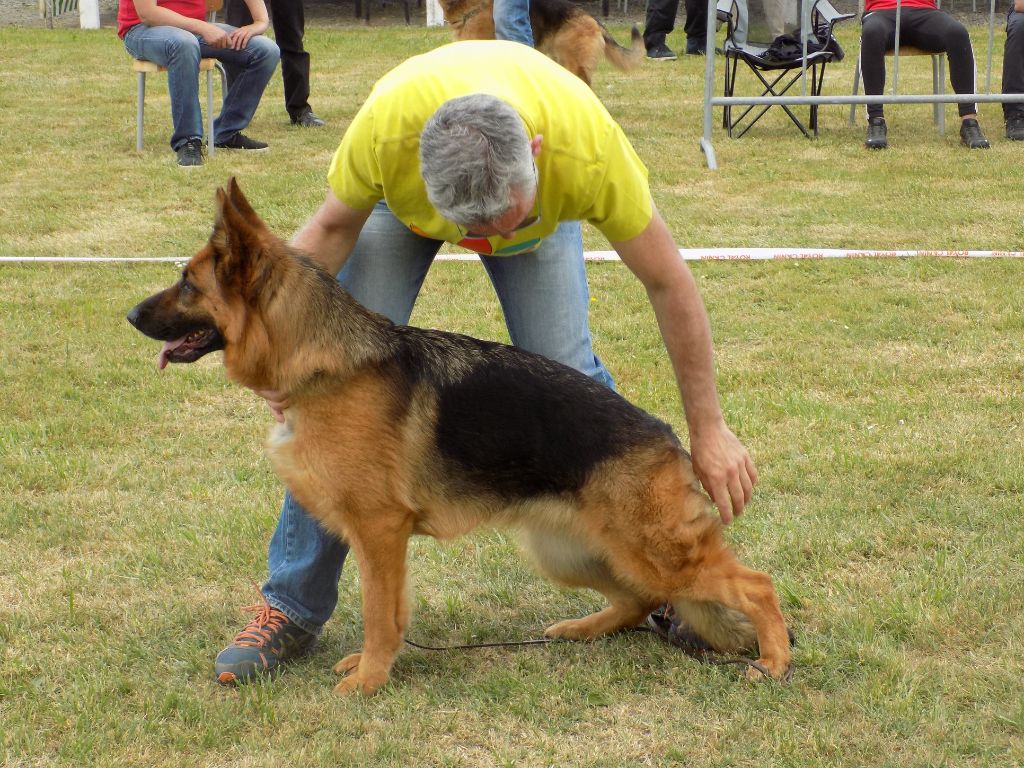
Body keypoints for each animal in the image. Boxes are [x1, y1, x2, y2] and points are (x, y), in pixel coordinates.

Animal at [121, 182, 790, 696]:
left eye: (187, 283)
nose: (129, 315)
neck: (322, 359)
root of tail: (671, 437)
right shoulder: (377, 538)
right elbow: (388, 612)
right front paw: (373, 668)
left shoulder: (380, 532)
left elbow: (379, 613)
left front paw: (368, 681)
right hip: (569, 551)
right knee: (634, 600)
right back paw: (581, 628)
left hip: (651, 551)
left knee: (754, 584)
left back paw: (775, 660)